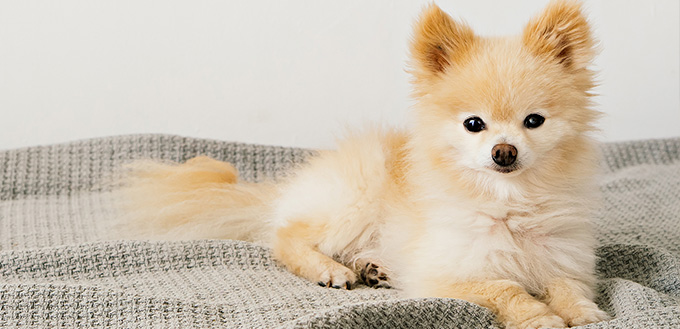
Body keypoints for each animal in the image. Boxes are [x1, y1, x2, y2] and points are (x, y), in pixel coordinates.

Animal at [118, 1, 612, 326]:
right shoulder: (445, 273)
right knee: (285, 236)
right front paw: (540, 317)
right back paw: (330, 269)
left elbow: (568, 288)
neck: (509, 203)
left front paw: (584, 313)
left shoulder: (565, 262)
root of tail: (290, 187)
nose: (503, 152)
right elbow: (505, 288)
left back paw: (376, 268)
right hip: (353, 200)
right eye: (474, 124)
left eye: (534, 121)